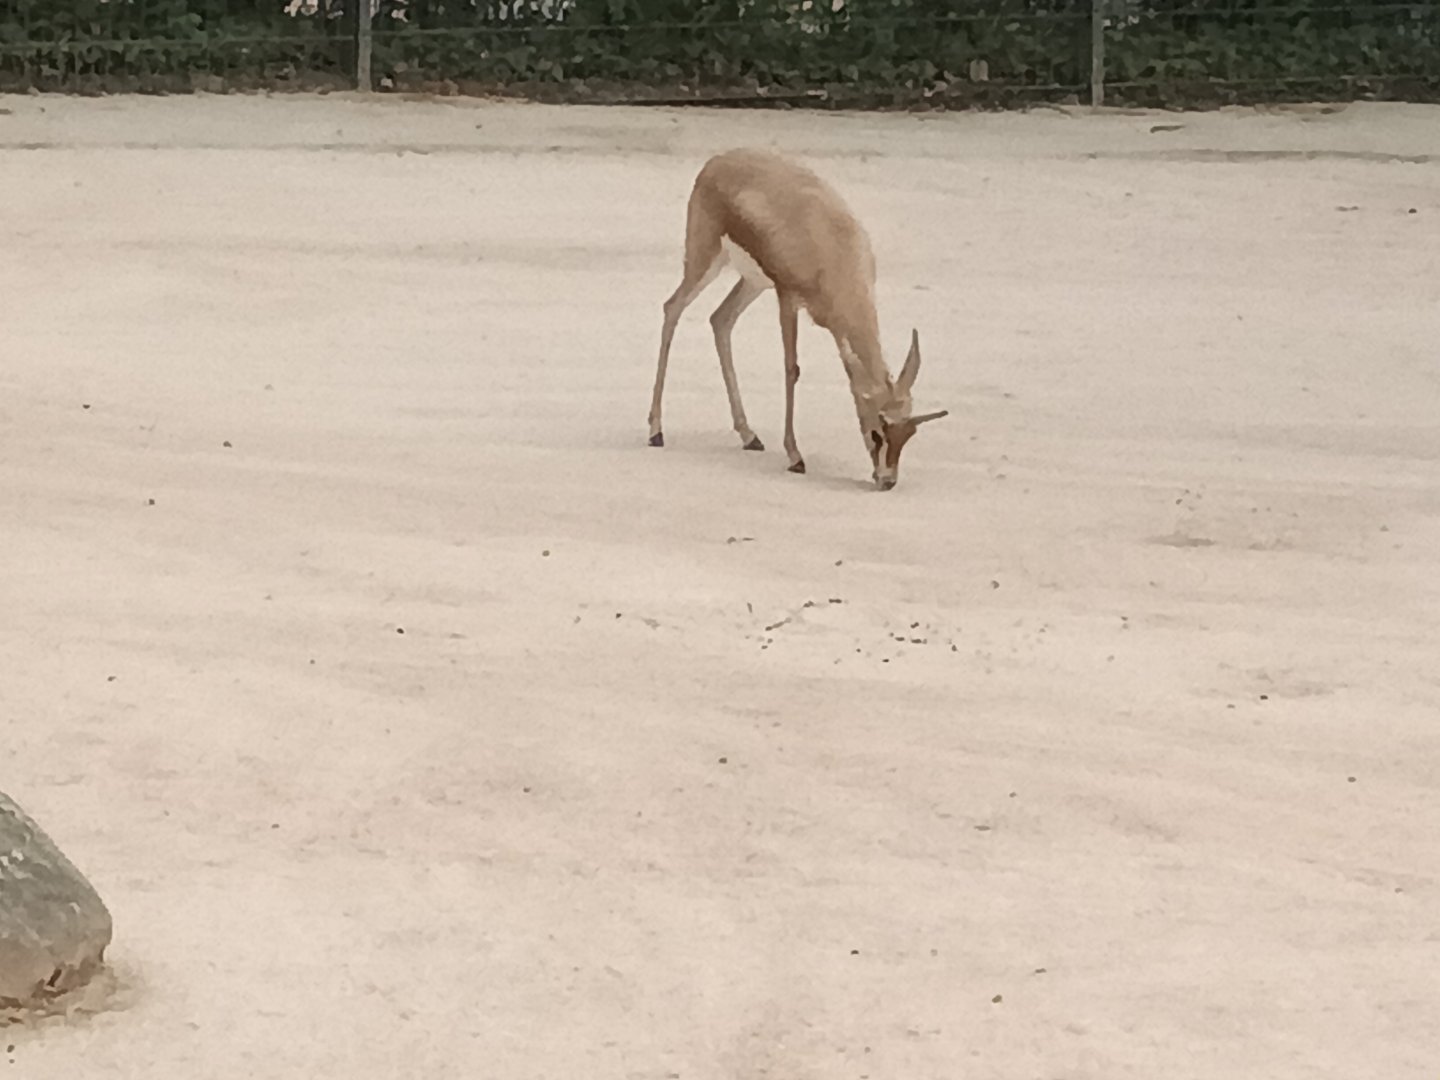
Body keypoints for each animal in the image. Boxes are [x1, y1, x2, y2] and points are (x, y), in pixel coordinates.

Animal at [646, 147, 948, 491]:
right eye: (877, 433)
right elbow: (791, 369)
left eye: (909, 434)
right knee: (672, 307)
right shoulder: (787, 296)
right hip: (705, 259)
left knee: (720, 319)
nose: (887, 481)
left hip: (753, 281)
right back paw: (656, 431)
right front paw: (795, 456)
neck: (831, 245)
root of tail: (717, 161)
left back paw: (749, 436)